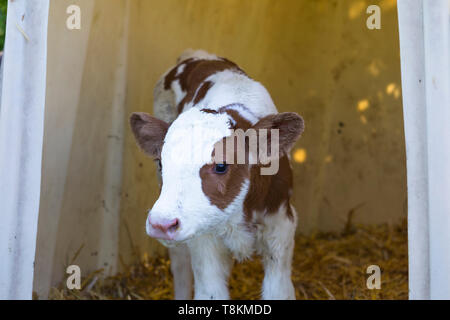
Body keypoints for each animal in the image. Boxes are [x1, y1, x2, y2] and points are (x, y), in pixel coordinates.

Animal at [130, 49, 306, 300]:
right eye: (161, 163)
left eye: (221, 166)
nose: (161, 224)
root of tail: (196, 54)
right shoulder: (203, 240)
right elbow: (210, 291)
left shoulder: (280, 227)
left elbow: (278, 290)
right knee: (180, 261)